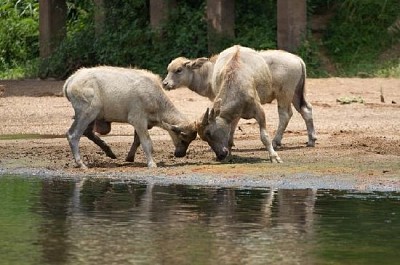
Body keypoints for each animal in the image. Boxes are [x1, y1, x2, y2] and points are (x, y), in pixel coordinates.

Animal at [63, 67, 198, 168]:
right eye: (183, 139)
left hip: (92, 116)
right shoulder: (138, 120)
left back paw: (110, 152)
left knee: (88, 132)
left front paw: (129, 158)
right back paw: (81, 164)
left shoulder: (144, 123)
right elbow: (146, 142)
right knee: (73, 134)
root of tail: (72, 79)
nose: (180, 154)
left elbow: (137, 141)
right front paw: (151, 163)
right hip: (87, 113)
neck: (154, 98)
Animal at [162, 48, 316, 147]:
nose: (165, 83)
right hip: (295, 94)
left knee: (285, 114)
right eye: (168, 70)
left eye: (178, 70)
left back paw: (276, 141)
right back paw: (311, 140)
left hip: (284, 94)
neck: (210, 73)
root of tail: (297, 59)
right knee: (306, 110)